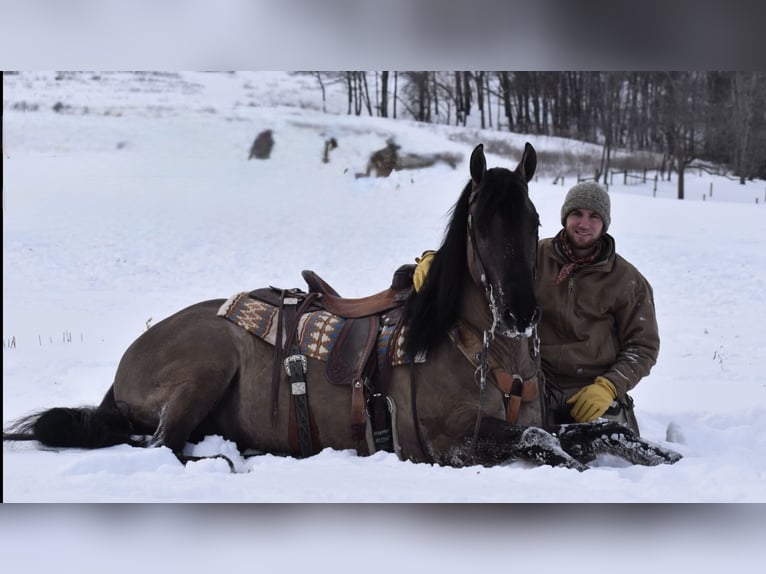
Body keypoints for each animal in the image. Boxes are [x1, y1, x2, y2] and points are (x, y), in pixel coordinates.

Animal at [3, 143, 681, 471]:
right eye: (480, 223)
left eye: (534, 220)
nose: (519, 315)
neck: (481, 352)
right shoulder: (449, 447)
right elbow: (544, 442)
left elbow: (592, 428)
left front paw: (656, 452)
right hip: (205, 365)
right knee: (161, 445)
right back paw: (224, 457)